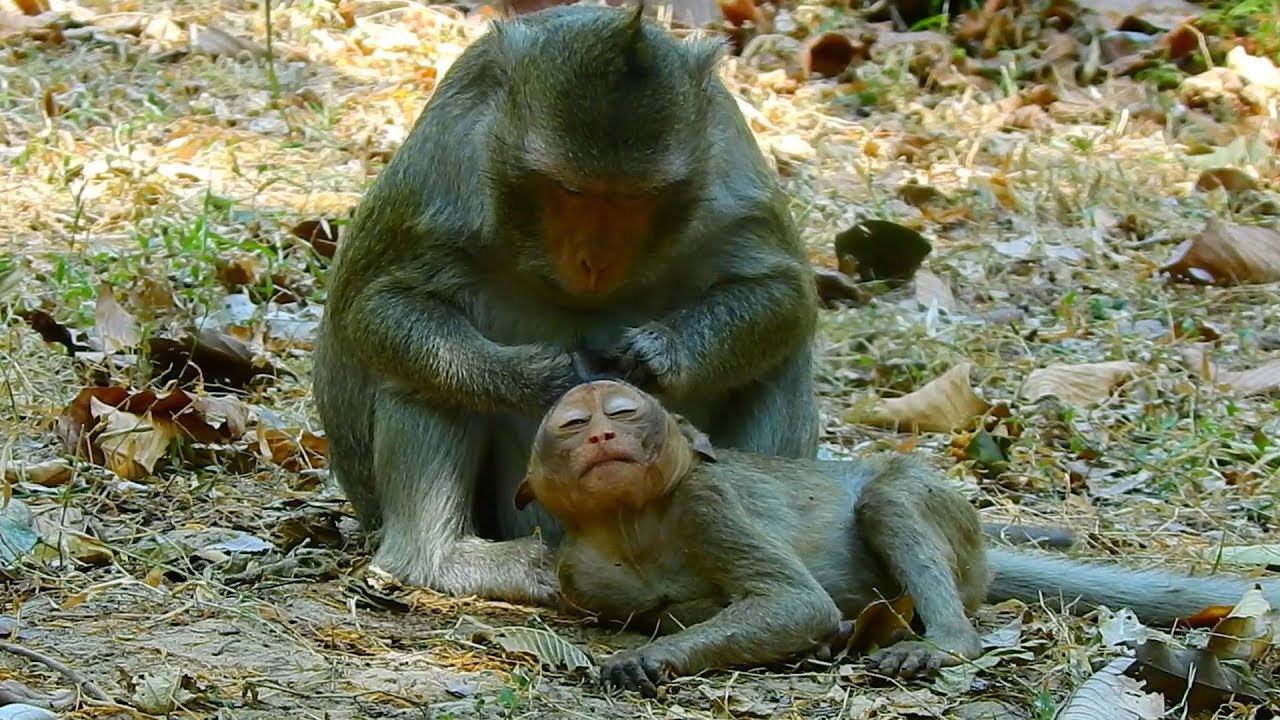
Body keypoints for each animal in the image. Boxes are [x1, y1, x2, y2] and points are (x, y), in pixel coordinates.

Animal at [311, 3, 820, 605]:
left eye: (637, 199)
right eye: (571, 192)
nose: (594, 261)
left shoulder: (729, 164)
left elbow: (783, 294)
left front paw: (658, 355)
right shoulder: (445, 164)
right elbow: (375, 307)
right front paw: (536, 375)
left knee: (780, 359)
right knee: (423, 372)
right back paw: (440, 561)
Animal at [515, 380, 1280, 696]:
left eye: (621, 412)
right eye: (573, 425)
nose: (603, 435)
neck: (632, 520)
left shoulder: (707, 503)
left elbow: (797, 603)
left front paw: (656, 656)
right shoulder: (580, 570)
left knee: (888, 500)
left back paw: (943, 643)